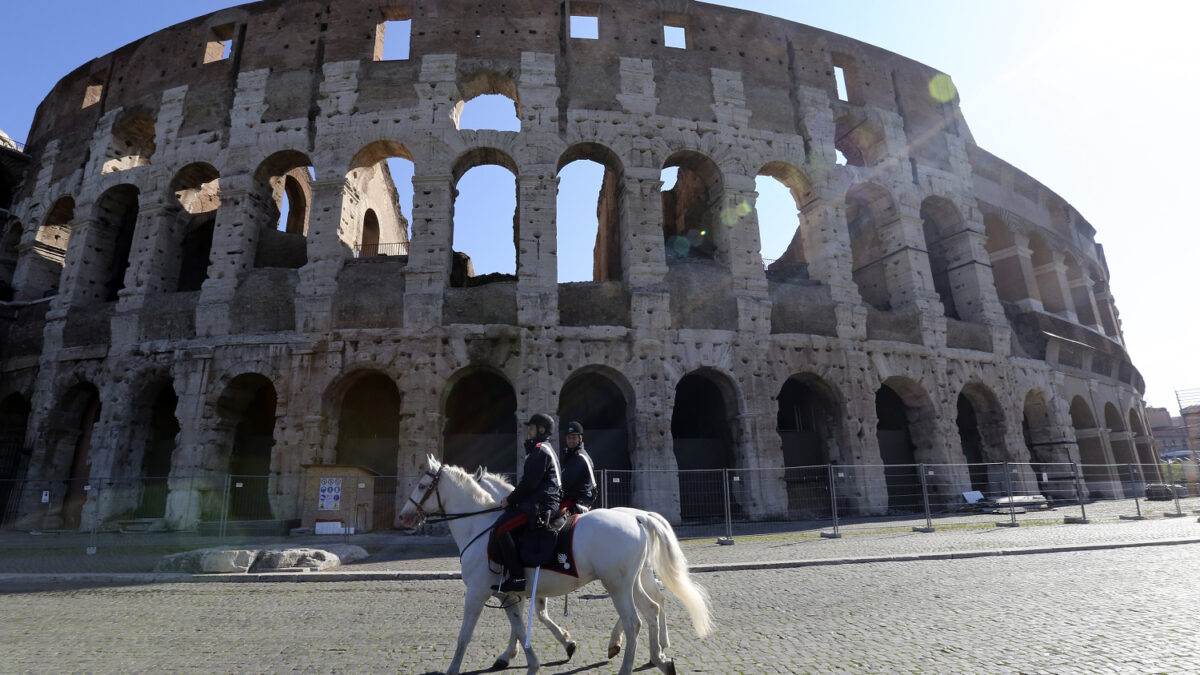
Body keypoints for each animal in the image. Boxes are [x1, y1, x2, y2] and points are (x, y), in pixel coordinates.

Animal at [400, 454, 710, 667]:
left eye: (423, 485)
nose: (404, 516)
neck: (482, 526)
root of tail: (638, 516)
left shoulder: (480, 591)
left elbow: (470, 633)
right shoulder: (516, 591)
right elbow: (524, 623)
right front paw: (537, 649)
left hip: (618, 583)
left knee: (638, 616)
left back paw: (631, 649)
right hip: (634, 578)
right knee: (654, 605)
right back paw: (656, 652)